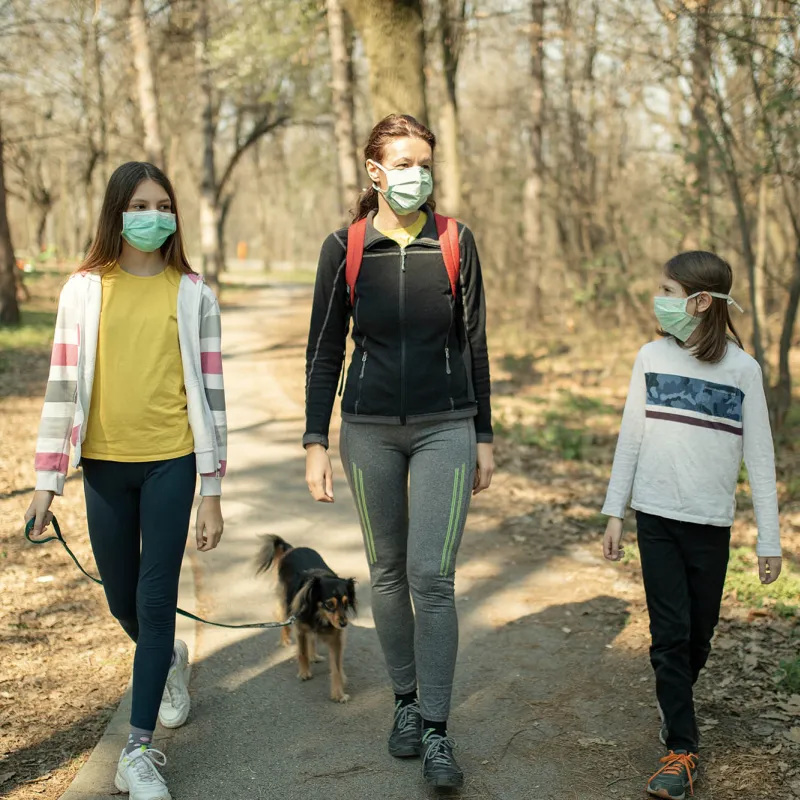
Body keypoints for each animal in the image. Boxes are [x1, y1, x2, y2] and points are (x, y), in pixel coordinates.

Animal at [256, 536, 356, 700]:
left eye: (346, 603)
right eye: (329, 604)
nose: (343, 624)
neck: (319, 614)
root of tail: (292, 548)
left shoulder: (336, 639)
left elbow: (336, 667)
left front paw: (338, 693)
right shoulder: (300, 629)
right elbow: (302, 652)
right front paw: (304, 673)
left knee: (312, 638)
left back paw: (314, 655)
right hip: (285, 603)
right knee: (282, 619)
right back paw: (285, 640)